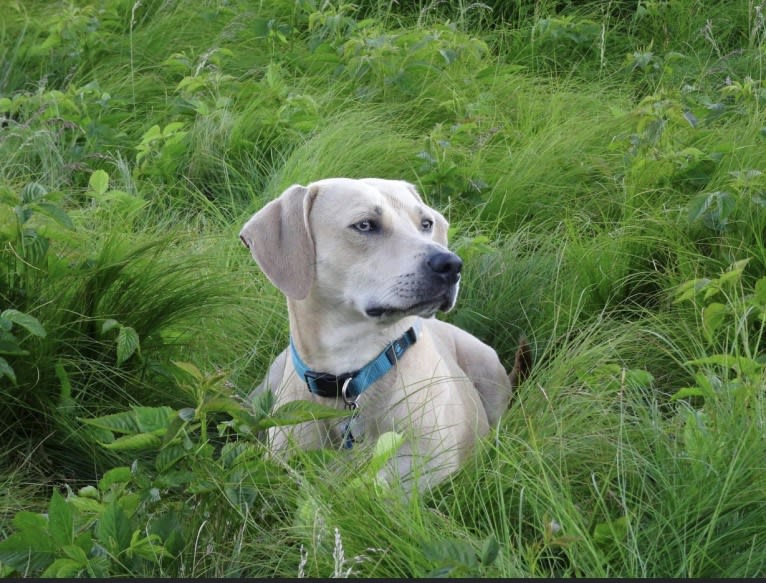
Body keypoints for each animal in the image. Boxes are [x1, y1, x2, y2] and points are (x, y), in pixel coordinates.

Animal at [240, 178, 528, 492]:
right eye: (365, 225)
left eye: (426, 223)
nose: (451, 264)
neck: (351, 372)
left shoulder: (426, 466)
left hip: (486, 365)